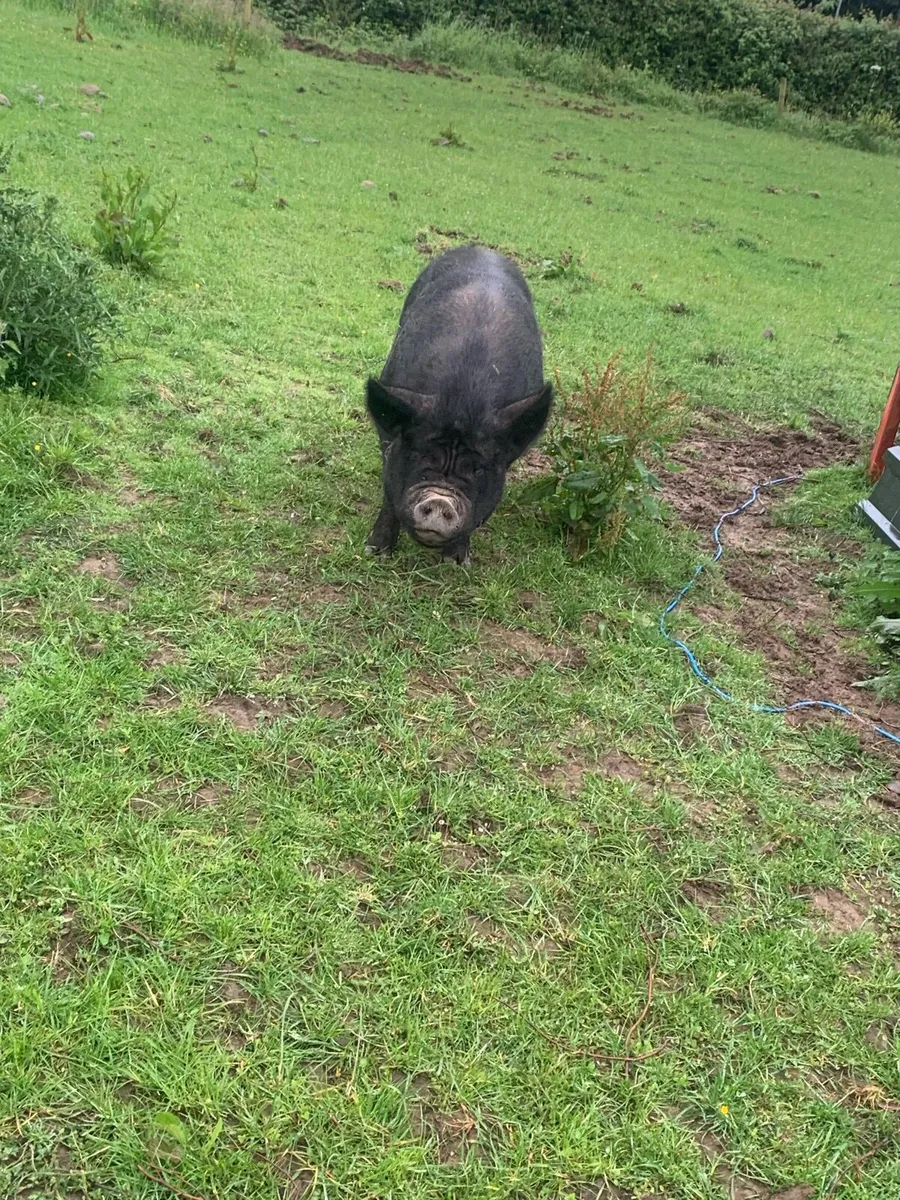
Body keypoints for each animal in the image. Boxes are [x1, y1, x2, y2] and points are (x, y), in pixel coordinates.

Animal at [365, 245, 553, 564]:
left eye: (478, 470)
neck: (463, 403)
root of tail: (482, 249)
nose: (441, 500)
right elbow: (389, 491)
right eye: (416, 455)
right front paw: (376, 551)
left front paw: (456, 563)